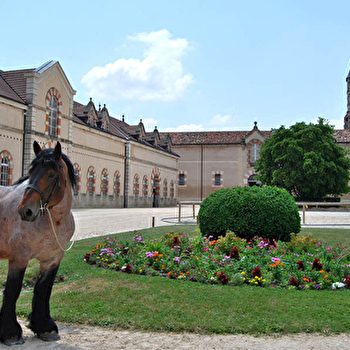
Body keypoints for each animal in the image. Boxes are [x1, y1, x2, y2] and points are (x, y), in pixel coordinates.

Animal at [0, 141, 76, 346]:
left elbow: (43, 289)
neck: (51, 221)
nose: (25, 211)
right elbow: (13, 290)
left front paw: (45, 328)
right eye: (31, 172)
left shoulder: (53, 259)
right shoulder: (19, 258)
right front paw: (10, 333)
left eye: (51, 174)